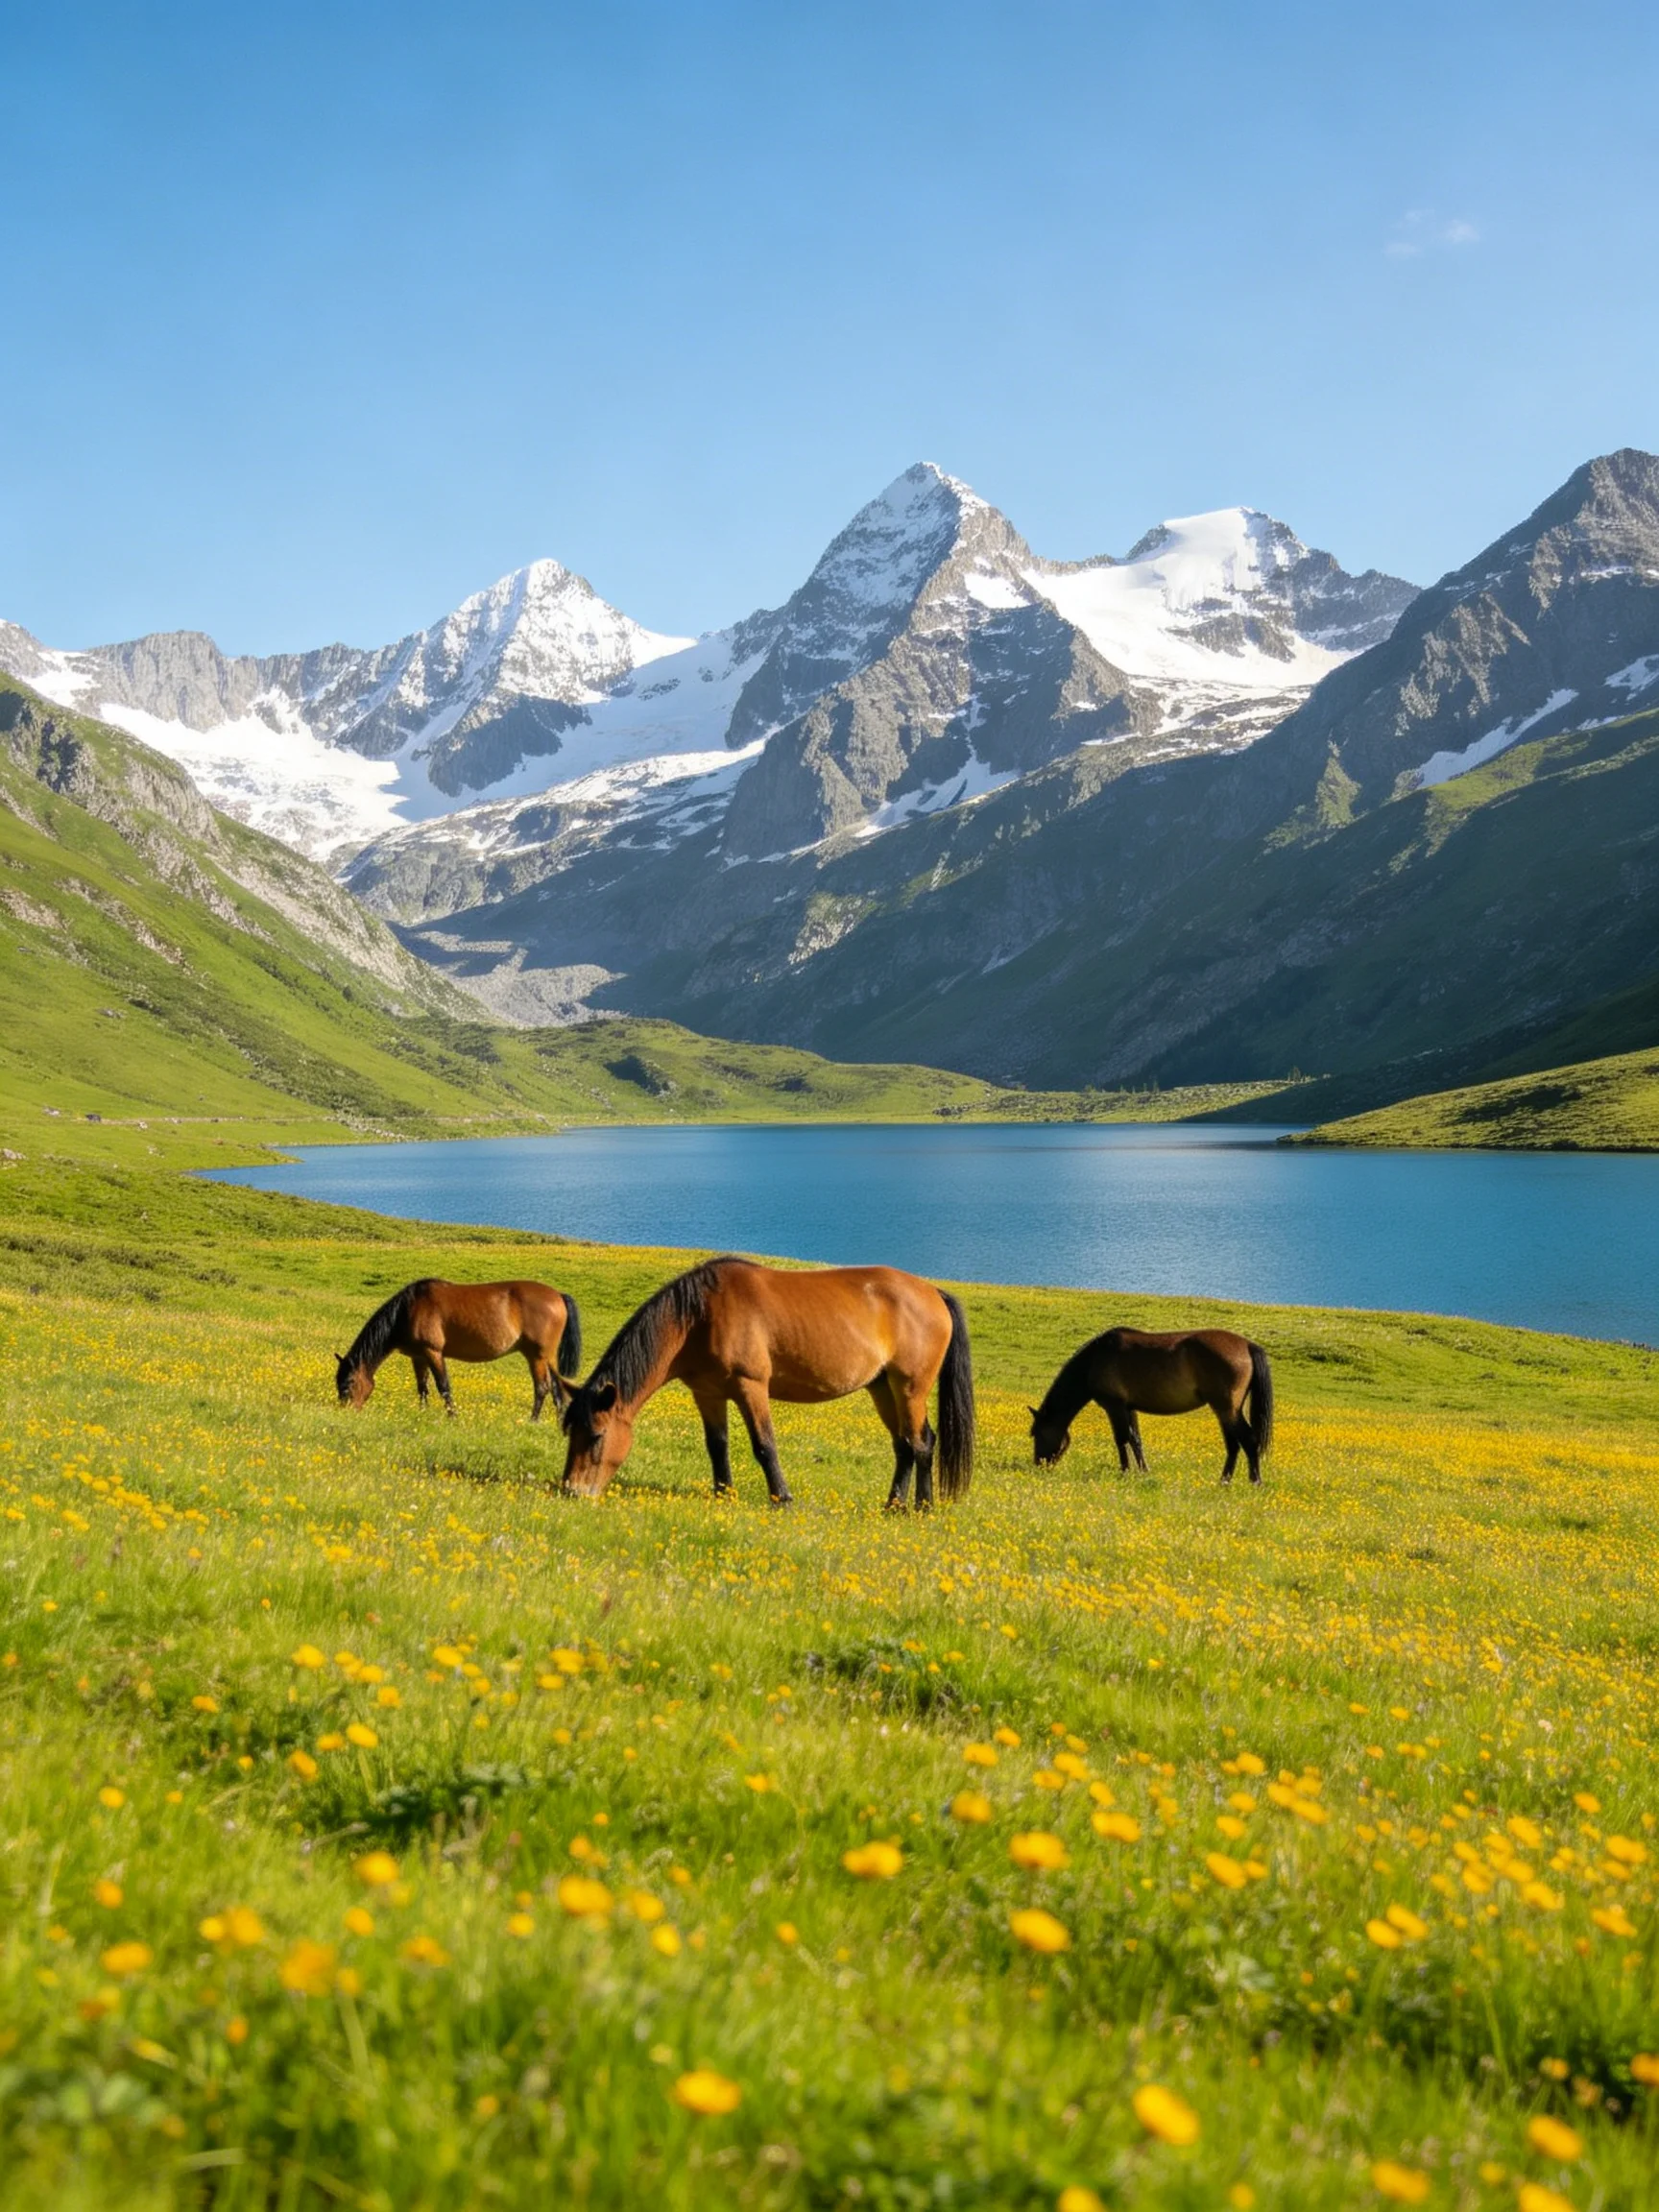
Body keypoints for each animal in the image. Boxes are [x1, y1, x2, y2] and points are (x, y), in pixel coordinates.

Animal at [336, 1279, 582, 1420]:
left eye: (349, 1383)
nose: (346, 1412)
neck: (408, 1310)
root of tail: (558, 1296)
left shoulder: (433, 1352)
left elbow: (443, 1386)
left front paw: (452, 1416)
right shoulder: (418, 1357)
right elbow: (422, 1388)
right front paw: (423, 1413)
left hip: (537, 1356)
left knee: (542, 1388)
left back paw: (533, 1420)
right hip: (544, 1358)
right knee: (556, 1388)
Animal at [559, 1255, 974, 1508]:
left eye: (596, 1436)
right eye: (570, 1432)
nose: (571, 1491)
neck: (700, 1317)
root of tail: (933, 1292)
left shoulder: (751, 1386)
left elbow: (764, 1445)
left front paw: (782, 1498)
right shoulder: (707, 1394)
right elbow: (717, 1446)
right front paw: (723, 1494)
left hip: (910, 1387)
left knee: (921, 1443)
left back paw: (920, 1507)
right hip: (882, 1387)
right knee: (904, 1446)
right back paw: (893, 1505)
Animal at [1030, 1326, 1273, 1484]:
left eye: (1037, 1434)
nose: (1038, 1465)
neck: (1095, 1360)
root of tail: (1247, 1345)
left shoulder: (1114, 1406)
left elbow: (1121, 1439)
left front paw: (1125, 1472)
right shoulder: (1129, 1408)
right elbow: (1135, 1439)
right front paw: (1143, 1471)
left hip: (1227, 1409)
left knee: (1248, 1440)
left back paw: (1255, 1481)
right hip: (1226, 1410)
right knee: (1234, 1445)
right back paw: (1224, 1480)